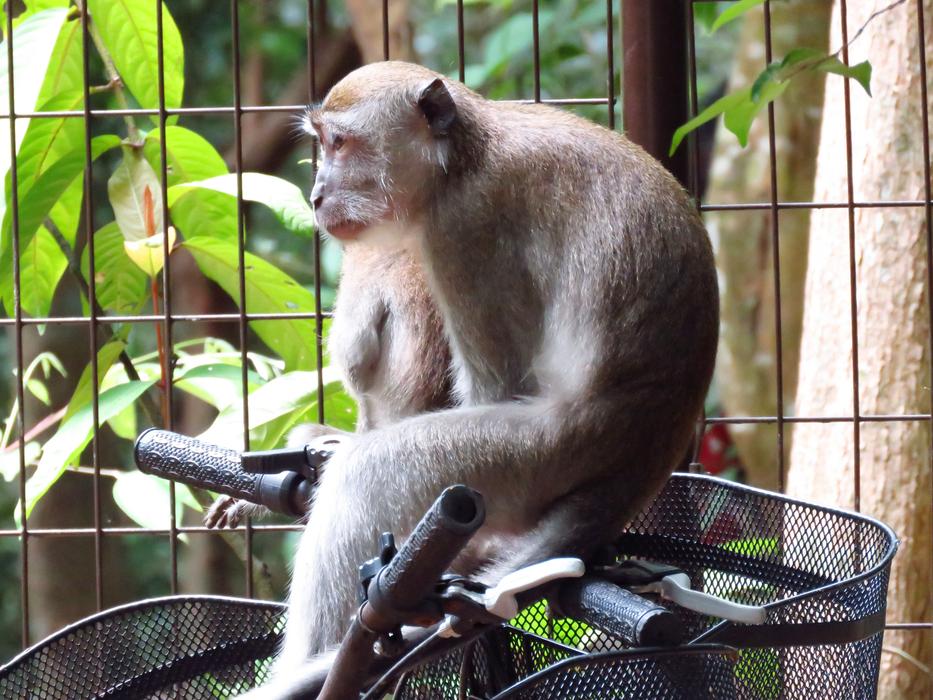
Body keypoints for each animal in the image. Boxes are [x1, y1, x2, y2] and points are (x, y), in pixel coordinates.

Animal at [246, 61, 719, 696]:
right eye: (321, 144)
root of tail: (644, 460)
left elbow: (501, 385)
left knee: (368, 476)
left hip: (540, 456)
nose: (317, 195)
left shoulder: (465, 228)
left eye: (340, 143)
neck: (462, 158)